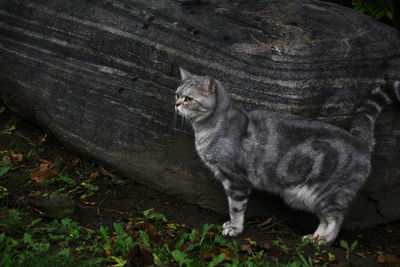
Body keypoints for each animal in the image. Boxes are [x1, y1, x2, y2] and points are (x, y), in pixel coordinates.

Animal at [175, 68, 400, 246]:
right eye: (177, 94)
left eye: (188, 99)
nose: (176, 104)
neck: (212, 127)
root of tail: (360, 141)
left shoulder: (236, 180)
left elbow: (236, 209)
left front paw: (235, 229)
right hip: (311, 197)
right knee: (325, 219)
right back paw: (314, 238)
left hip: (326, 192)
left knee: (337, 217)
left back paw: (324, 241)